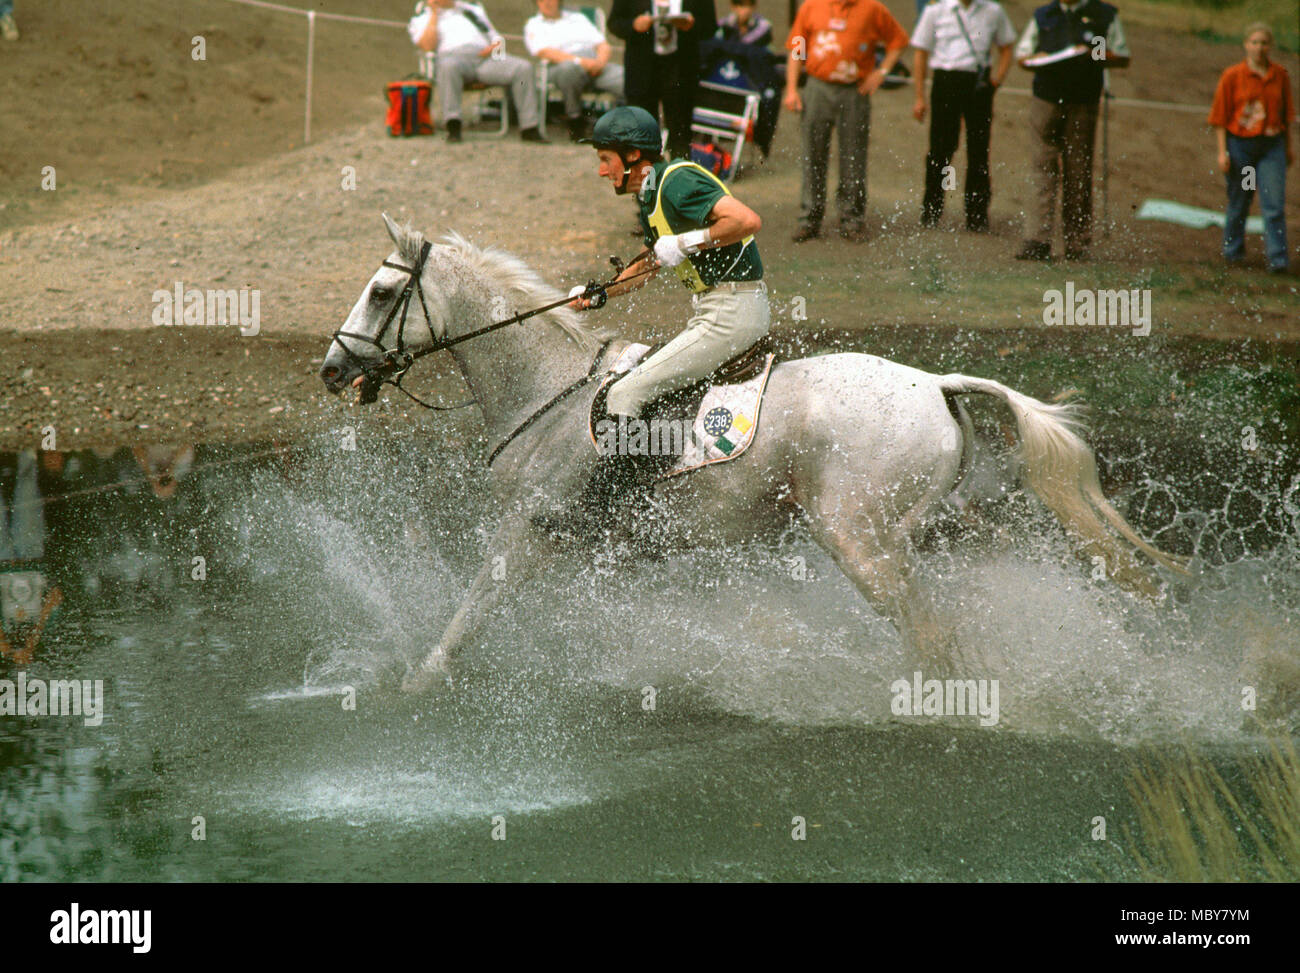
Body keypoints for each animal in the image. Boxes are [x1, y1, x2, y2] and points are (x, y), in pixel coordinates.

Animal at [319, 217, 1185, 697]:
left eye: (384, 295)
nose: (332, 370)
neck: (550, 391)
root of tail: (934, 384)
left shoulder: (533, 533)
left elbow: (467, 614)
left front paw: (417, 684)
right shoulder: (611, 554)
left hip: (860, 538)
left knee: (929, 635)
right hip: (935, 525)